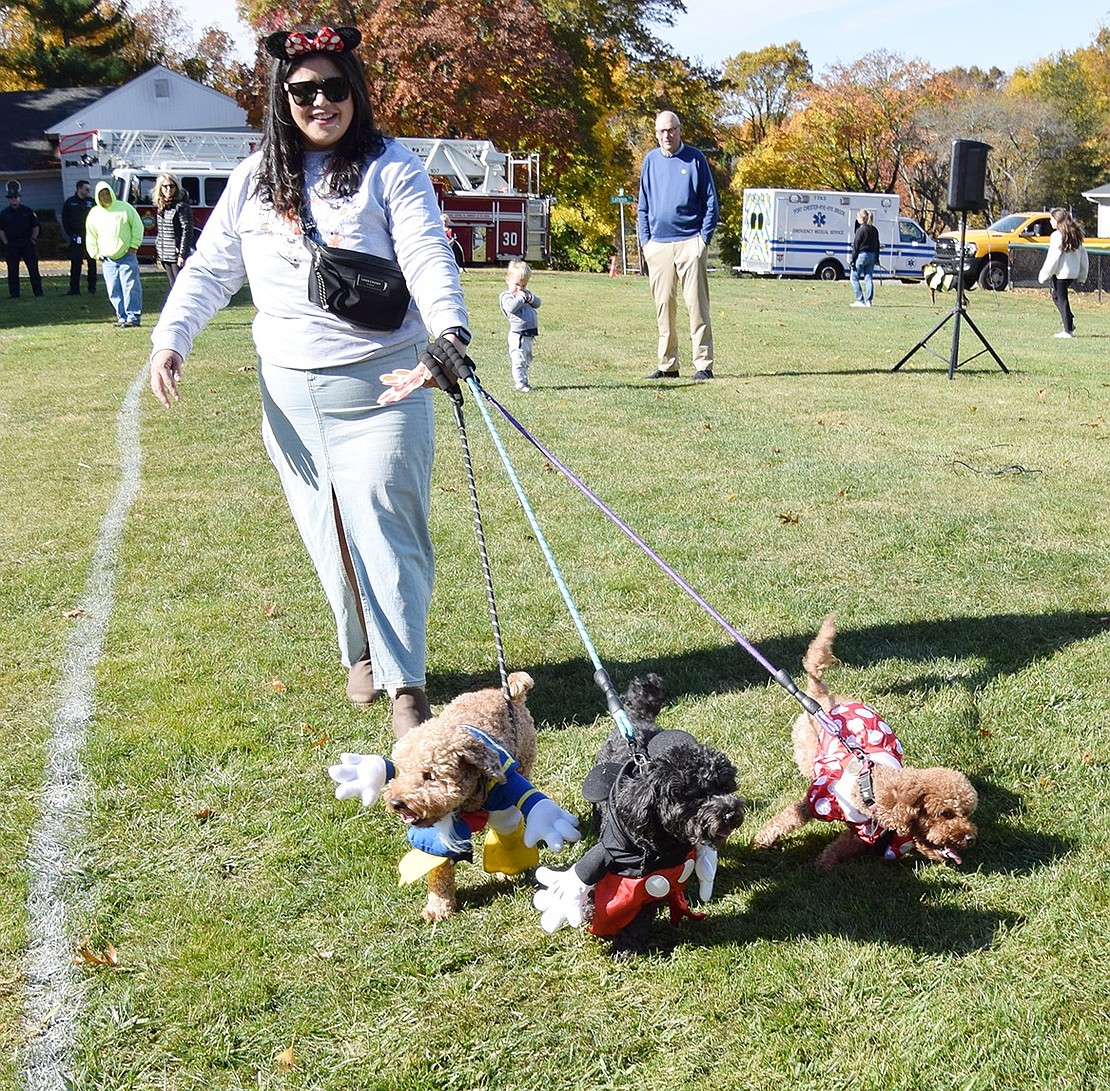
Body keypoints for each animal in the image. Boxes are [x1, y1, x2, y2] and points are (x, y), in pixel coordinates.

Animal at [324, 674, 577, 923]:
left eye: (429, 775)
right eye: (400, 771)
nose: (397, 803)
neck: (466, 798)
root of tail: (506, 691)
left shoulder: (502, 795)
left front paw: (506, 870)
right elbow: (439, 865)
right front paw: (438, 906)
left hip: (525, 760)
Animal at [535, 679, 745, 958]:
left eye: (724, 787)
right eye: (694, 795)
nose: (731, 814)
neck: (662, 842)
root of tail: (635, 719)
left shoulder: (656, 877)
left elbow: (641, 914)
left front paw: (626, 945)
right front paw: (590, 911)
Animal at [750, 617, 976, 865]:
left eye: (966, 814)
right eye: (946, 814)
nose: (970, 838)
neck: (871, 789)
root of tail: (820, 697)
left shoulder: (865, 831)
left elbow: (839, 847)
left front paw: (823, 863)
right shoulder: (815, 801)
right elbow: (788, 818)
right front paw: (762, 840)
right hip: (806, 751)